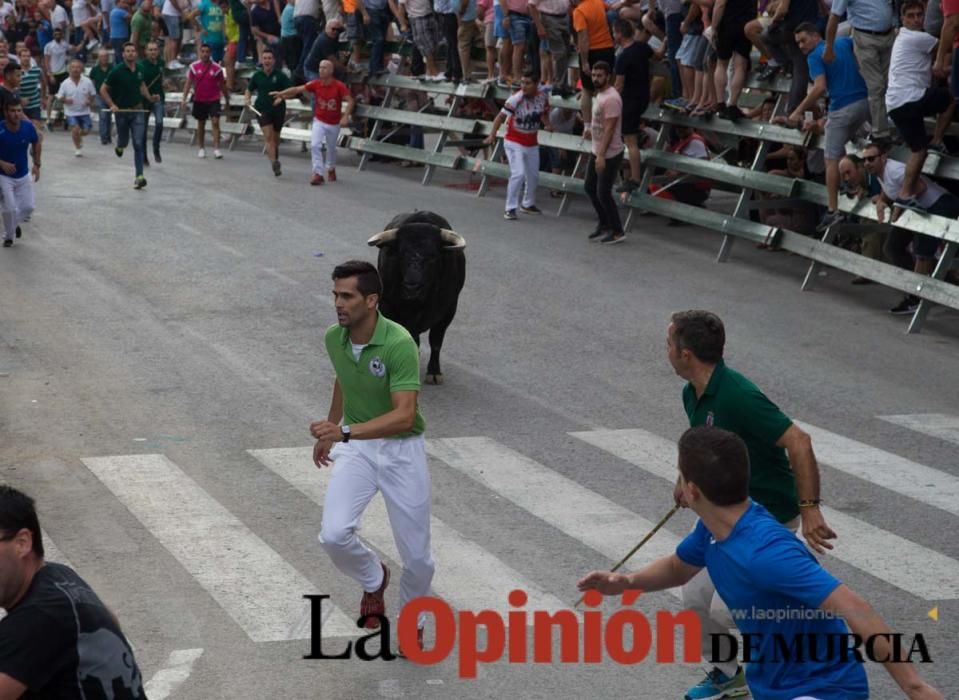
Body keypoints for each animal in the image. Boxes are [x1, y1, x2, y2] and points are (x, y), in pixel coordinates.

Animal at [368, 211, 468, 386]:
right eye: (401, 254)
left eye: (433, 256)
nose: (412, 287)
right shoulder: (387, 305)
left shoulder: (448, 311)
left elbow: (435, 342)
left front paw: (434, 372)